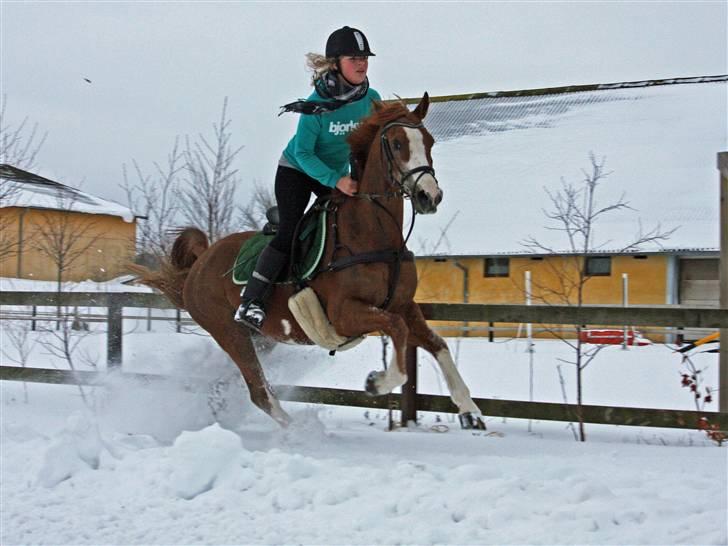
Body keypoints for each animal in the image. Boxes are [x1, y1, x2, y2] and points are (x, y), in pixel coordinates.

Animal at [139, 93, 486, 430]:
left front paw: (470, 410)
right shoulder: (346, 313)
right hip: (229, 331)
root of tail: (199, 264)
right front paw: (376, 382)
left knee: (238, 382)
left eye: (429, 141)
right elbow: (398, 334)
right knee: (258, 391)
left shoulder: (404, 306)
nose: (430, 196)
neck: (372, 234)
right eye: (398, 143)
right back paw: (297, 430)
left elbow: (437, 344)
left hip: (263, 337)